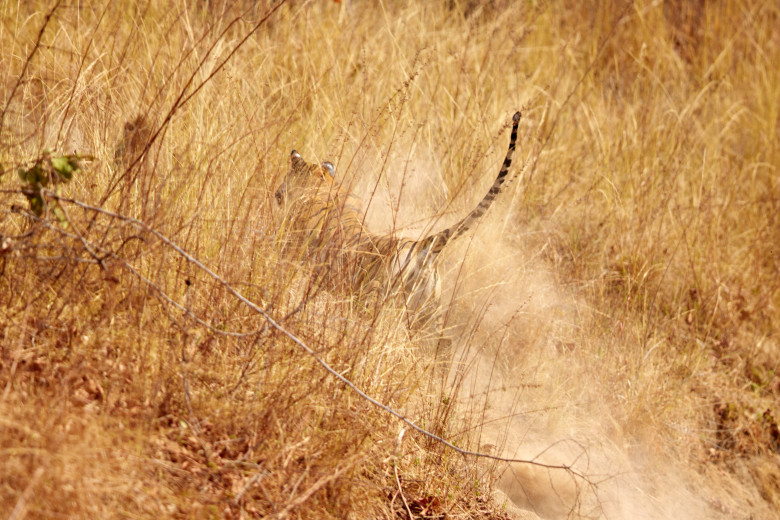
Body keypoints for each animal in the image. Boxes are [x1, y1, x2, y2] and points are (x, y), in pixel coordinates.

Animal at [278, 111, 520, 336]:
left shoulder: (294, 255)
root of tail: (424, 245)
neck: (325, 184)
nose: (276, 194)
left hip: (376, 304)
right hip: (428, 320)